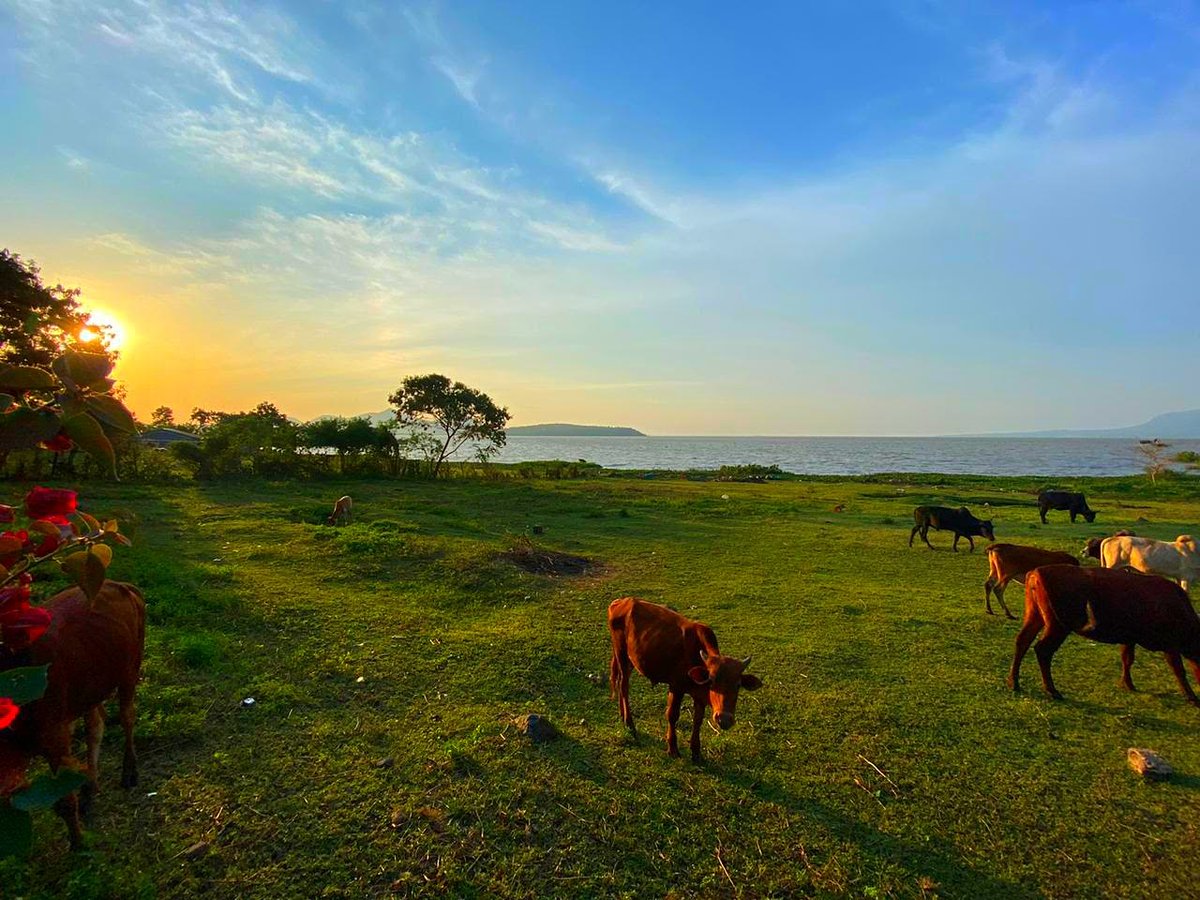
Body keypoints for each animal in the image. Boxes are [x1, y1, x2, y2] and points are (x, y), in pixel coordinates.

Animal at [1, 582, 146, 848]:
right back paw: (90, 787)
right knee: (96, 724)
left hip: (130, 669)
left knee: (127, 716)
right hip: (91, 687)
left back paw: (129, 770)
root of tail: (121, 585)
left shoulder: (55, 737)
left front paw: (79, 843)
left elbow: (64, 801)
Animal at [607, 597, 761, 762]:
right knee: (624, 685)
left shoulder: (699, 696)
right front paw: (672, 748)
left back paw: (622, 715)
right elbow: (672, 715)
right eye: (712, 680)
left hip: (631, 659)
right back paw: (629, 723)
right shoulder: (676, 687)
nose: (724, 719)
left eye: (738, 685)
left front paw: (696, 752)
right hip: (621, 653)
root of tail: (622, 601)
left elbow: (698, 720)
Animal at [1008, 565, 1200, 707]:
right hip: (1057, 625)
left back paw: (1014, 682)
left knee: (1022, 641)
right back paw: (1051, 690)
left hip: (1035, 616)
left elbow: (1127, 658)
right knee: (1043, 650)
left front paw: (1128, 684)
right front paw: (1192, 697)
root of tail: (1036, 572)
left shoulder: (1129, 638)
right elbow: (1179, 670)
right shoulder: (1170, 644)